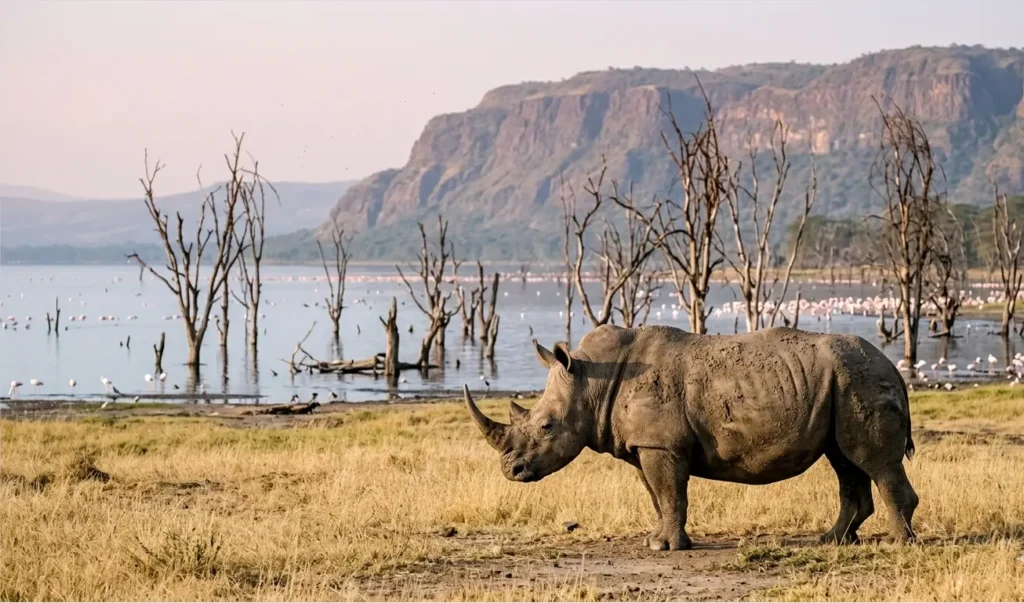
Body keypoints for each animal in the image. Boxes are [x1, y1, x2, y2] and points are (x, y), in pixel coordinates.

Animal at [464, 325, 918, 550]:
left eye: (546, 426)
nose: (511, 470)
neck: (592, 380)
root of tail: (892, 365)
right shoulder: (648, 446)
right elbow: (657, 495)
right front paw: (656, 541)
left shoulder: (661, 445)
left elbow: (670, 494)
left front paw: (666, 548)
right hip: (842, 383)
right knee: (845, 461)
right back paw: (833, 541)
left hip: (860, 379)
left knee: (872, 461)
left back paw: (897, 545)